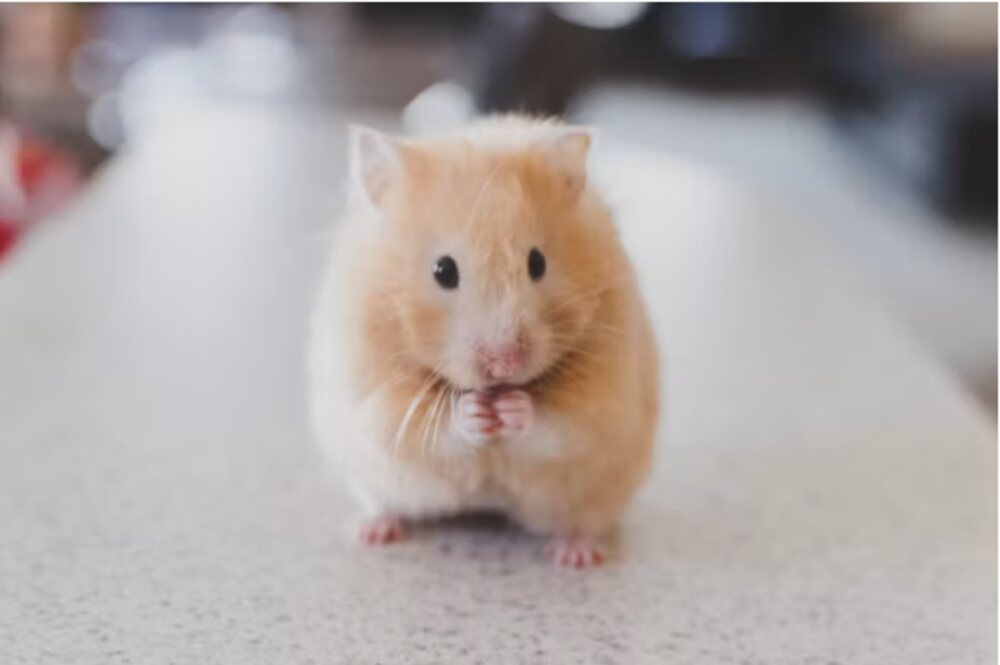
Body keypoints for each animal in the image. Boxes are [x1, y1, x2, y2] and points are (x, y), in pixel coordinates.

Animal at [309, 116, 659, 568]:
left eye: (537, 262)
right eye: (443, 270)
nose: (504, 364)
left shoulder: (603, 396)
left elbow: (559, 424)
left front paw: (512, 409)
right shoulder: (373, 392)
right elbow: (426, 426)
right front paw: (475, 412)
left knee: (584, 521)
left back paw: (575, 555)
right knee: (383, 503)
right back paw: (371, 531)